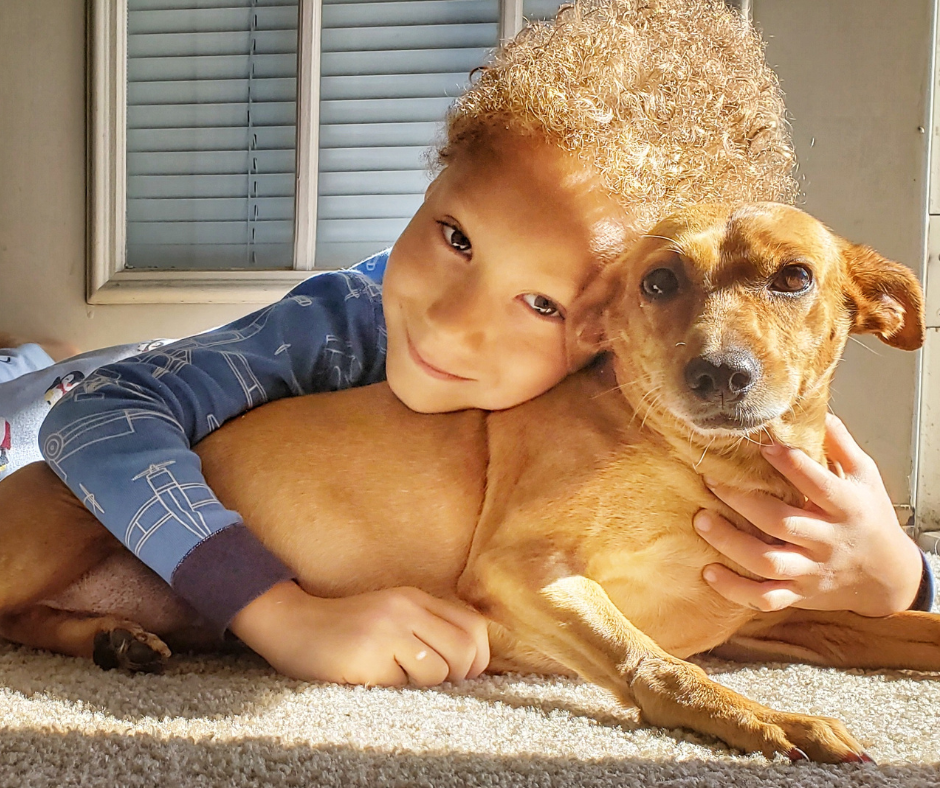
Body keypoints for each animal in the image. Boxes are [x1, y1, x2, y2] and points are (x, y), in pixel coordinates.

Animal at [1, 203, 940, 764]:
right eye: (659, 280)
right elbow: (655, 663)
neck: (707, 467)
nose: (720, 374)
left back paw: (114, 638)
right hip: (70, 513)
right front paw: (764, 719)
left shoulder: (780, 616)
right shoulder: (523, 570)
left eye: (795, 277)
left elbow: (908, 625)